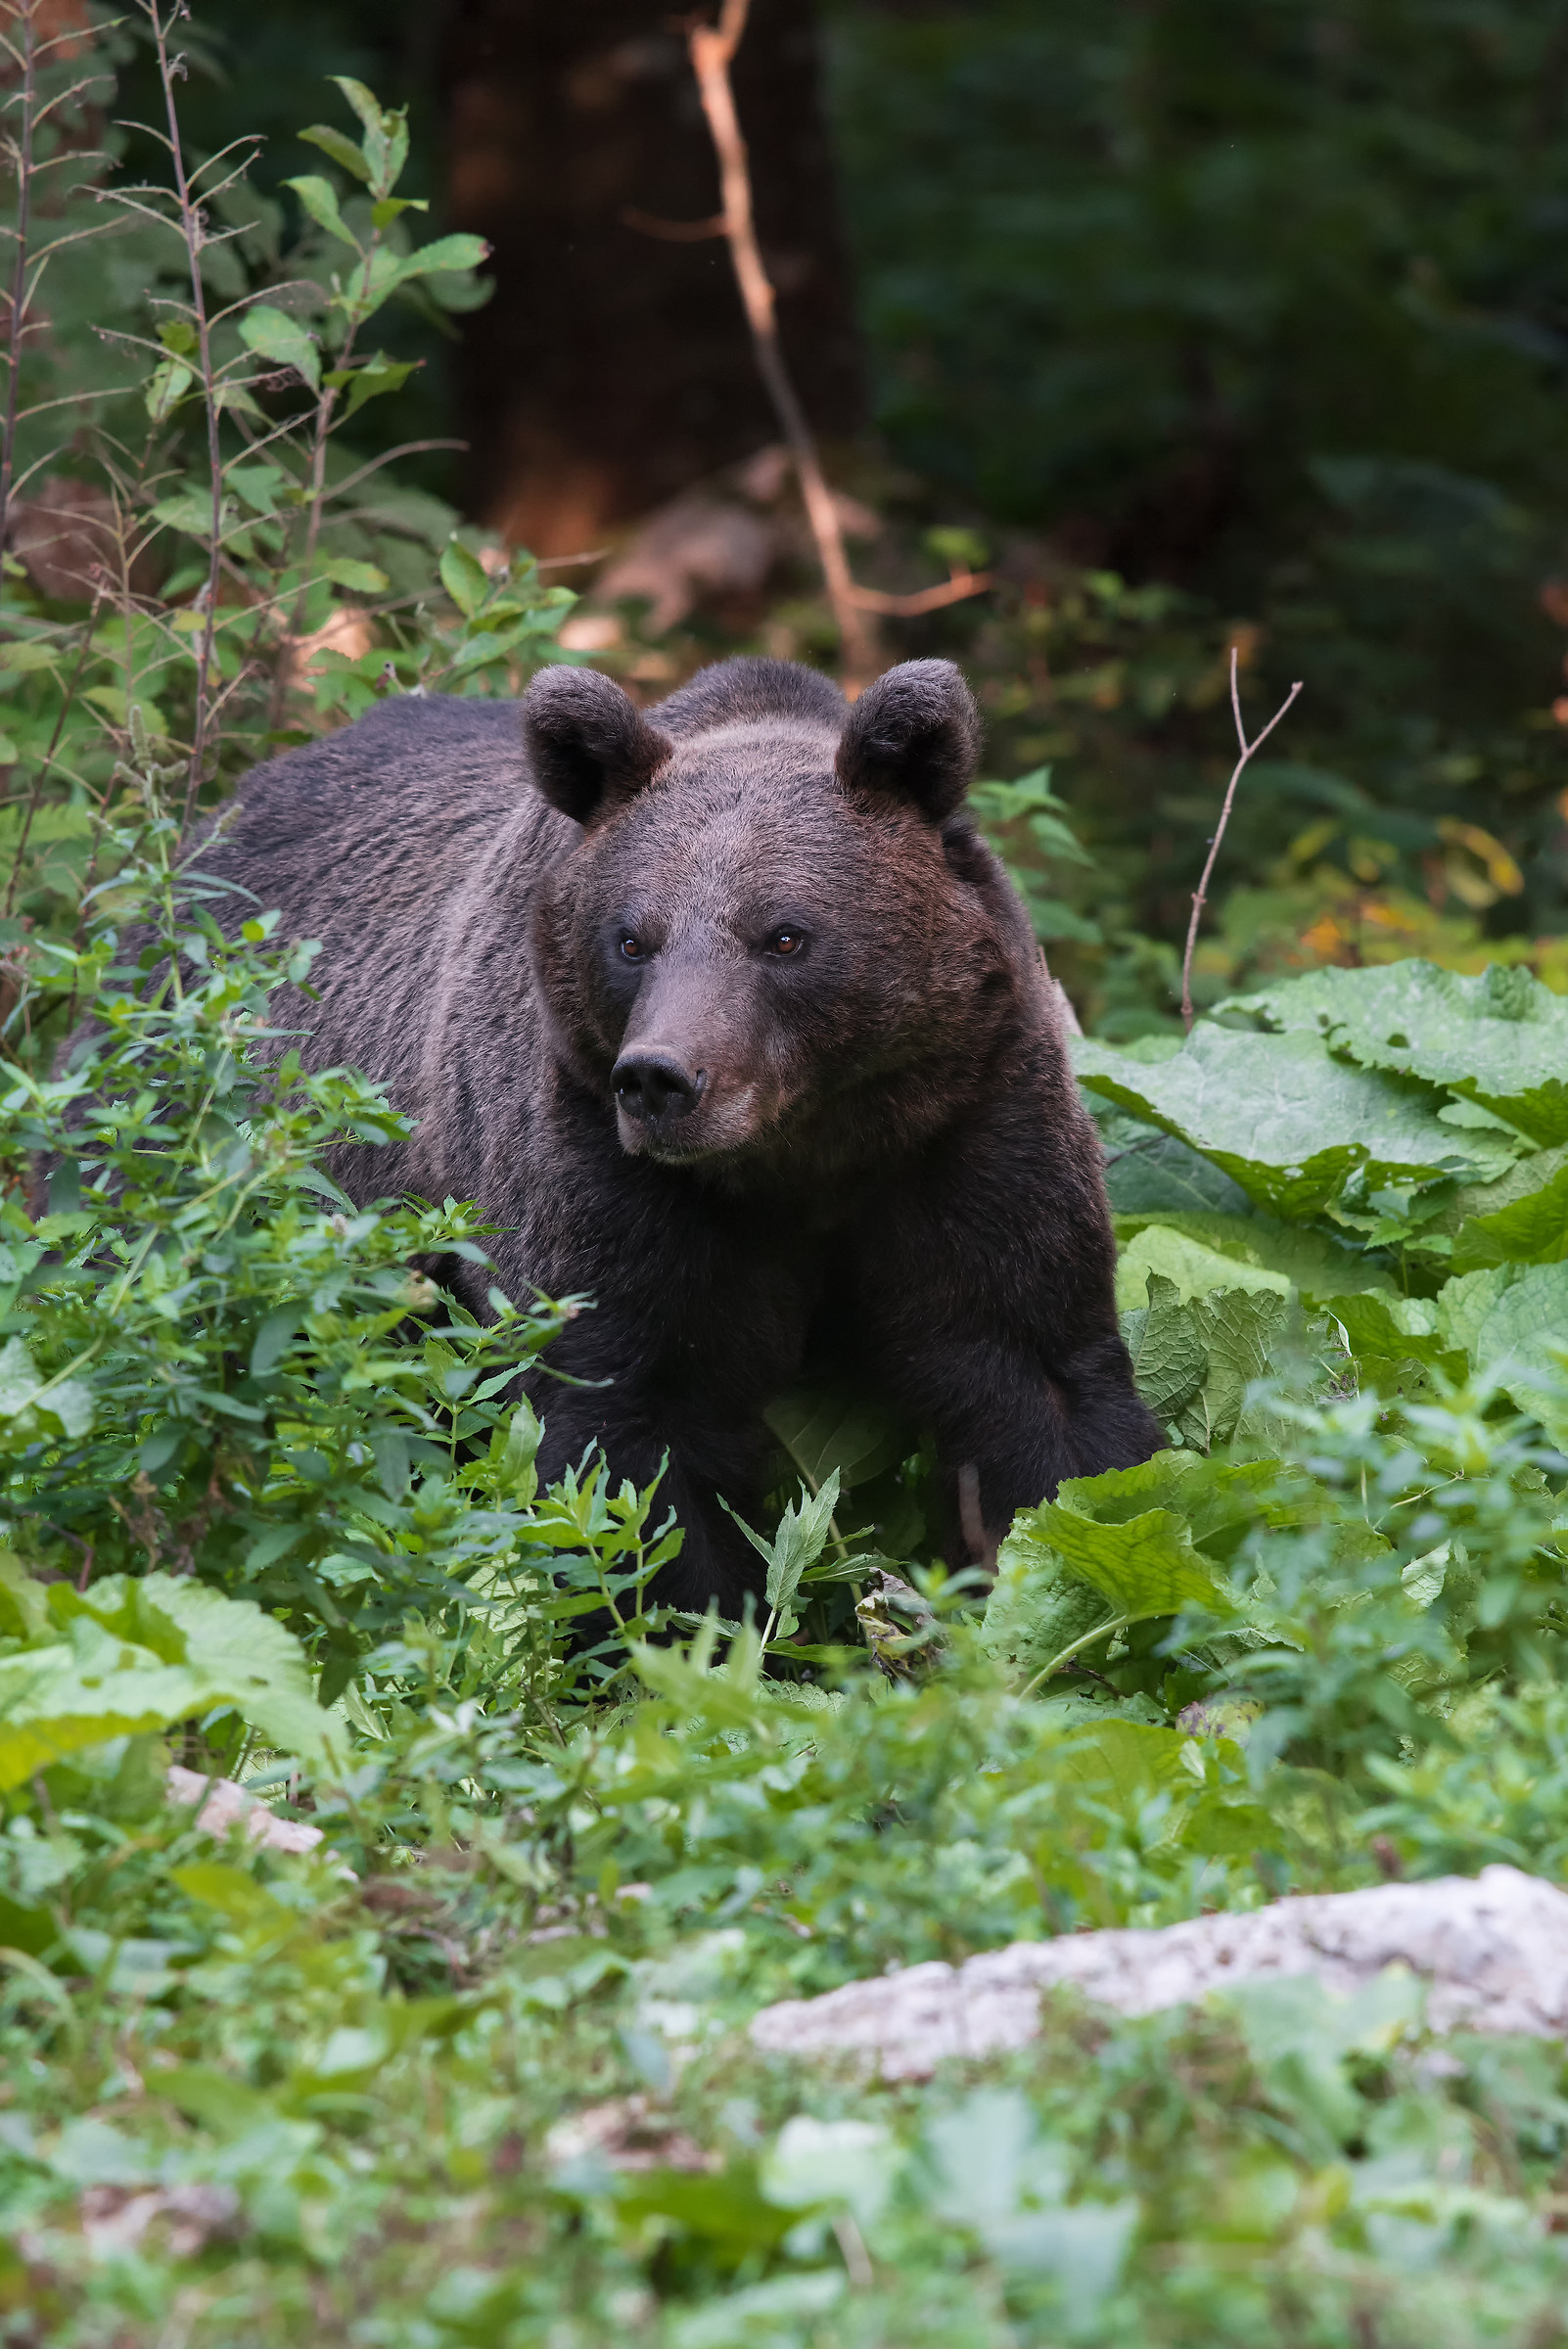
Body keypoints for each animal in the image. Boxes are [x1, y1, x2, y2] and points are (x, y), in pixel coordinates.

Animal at [183, 654, 1161, 1613]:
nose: (661, 1078)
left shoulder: (966, 1124)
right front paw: (705, 1622)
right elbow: (623, 1446)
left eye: (785, 935)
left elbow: (1041, 1391)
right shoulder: (599, 1169)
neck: (804, 1151)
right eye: (632, 939)